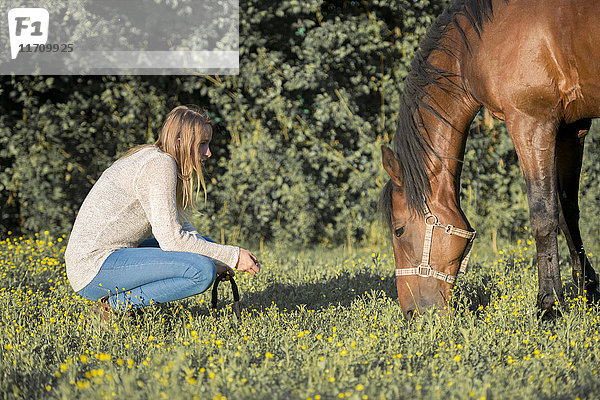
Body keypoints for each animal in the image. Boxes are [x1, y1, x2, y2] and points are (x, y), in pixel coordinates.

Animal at [384, 0, 600, 320]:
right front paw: (588, 290)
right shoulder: (572, 129)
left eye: (399, 231)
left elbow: (543, 216)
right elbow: (567, 212)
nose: (411, 313)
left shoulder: (531, 122)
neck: (473, 46)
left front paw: (549, 305)